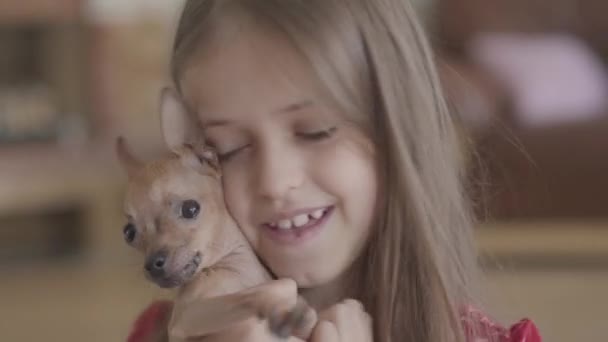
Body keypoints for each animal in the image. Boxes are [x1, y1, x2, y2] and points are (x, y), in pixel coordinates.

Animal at [116, 89, 316, 342]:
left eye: (190, 209)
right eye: (129, 233)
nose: (153, 265)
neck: (238, 271)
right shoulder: (185, 321)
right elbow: (255, 295)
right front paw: (279, 308)